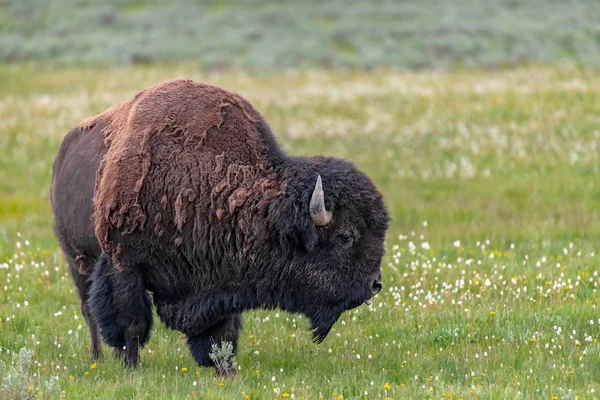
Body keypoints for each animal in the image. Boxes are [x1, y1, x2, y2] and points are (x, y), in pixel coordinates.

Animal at [50, 79, 390, 376]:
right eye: (345, 236)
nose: (375, 285)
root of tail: (64, 149)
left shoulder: (219, 280)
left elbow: (222, 333)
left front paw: (226, 371)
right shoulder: (125, 265)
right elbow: (132, 324)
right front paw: (131, 369)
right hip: (78, 259)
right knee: (90, 309)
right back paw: (97, 357)